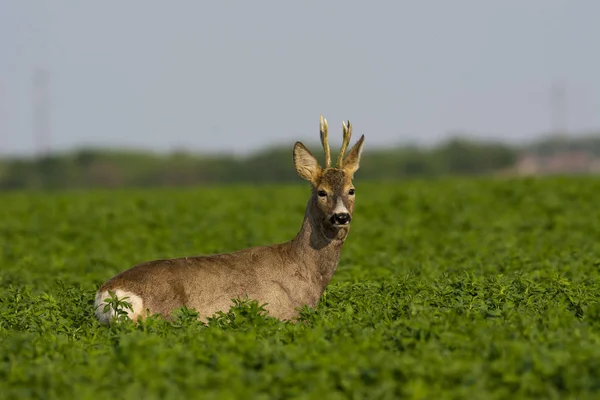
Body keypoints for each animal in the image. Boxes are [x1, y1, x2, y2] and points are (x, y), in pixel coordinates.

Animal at [94, 115, 366, 322]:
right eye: (321, 192)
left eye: (351, 190)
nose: (341, 216)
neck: (306, 271)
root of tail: (106, 294)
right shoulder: (283, 315)